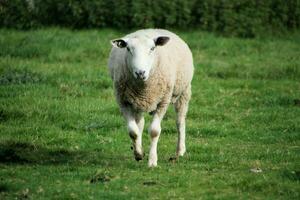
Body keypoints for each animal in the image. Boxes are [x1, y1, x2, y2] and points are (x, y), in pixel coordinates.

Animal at [108, 28, 195, 167]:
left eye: (152, 48)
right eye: (128, 49)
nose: (140, 72)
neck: (144, 88)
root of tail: (154, 29)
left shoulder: (163, 101)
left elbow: (154, 131)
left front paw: (152, 161)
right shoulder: (123, 102)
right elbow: (133, 131)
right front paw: (138, 153)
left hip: (184, 92)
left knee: (180, 121)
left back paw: (180, 151)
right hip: (137, 102)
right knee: (140, 123)